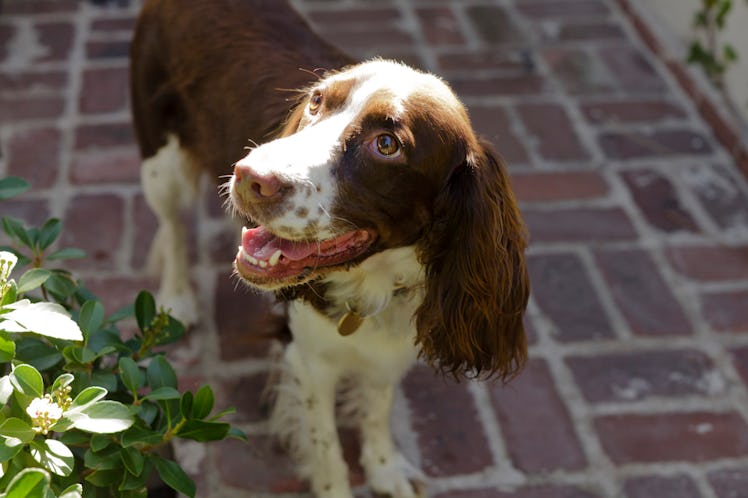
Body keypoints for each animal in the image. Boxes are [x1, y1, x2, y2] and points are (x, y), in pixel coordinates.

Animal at [133, 0, 532, 498]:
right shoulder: (308, 361)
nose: (249, 175)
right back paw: (176, 298)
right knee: (172, 224)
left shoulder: (391, 347)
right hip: (160, 158)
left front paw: (385, 468)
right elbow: (326, 447)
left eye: (387, 144)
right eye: (316, 103)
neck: (372, 280)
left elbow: (377, 408)